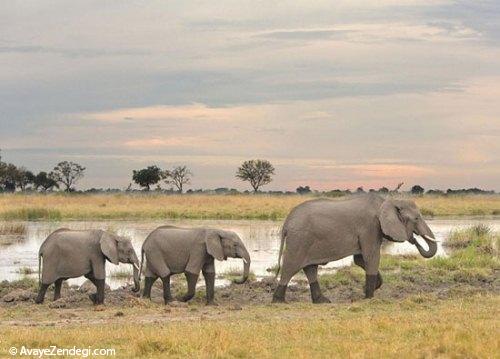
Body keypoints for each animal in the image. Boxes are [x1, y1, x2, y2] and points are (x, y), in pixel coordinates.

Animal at [274, 194, 438, 304]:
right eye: (416, 218)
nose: (414, 239)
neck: (387, 201)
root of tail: (286, 223)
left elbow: (360, 260)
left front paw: (367, 289)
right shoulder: (370, 227)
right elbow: (371, 257)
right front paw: (369, 297)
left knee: (310, 268)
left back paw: (322, 301)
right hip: (299, 239)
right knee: (290, 267)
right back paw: (278, 301)